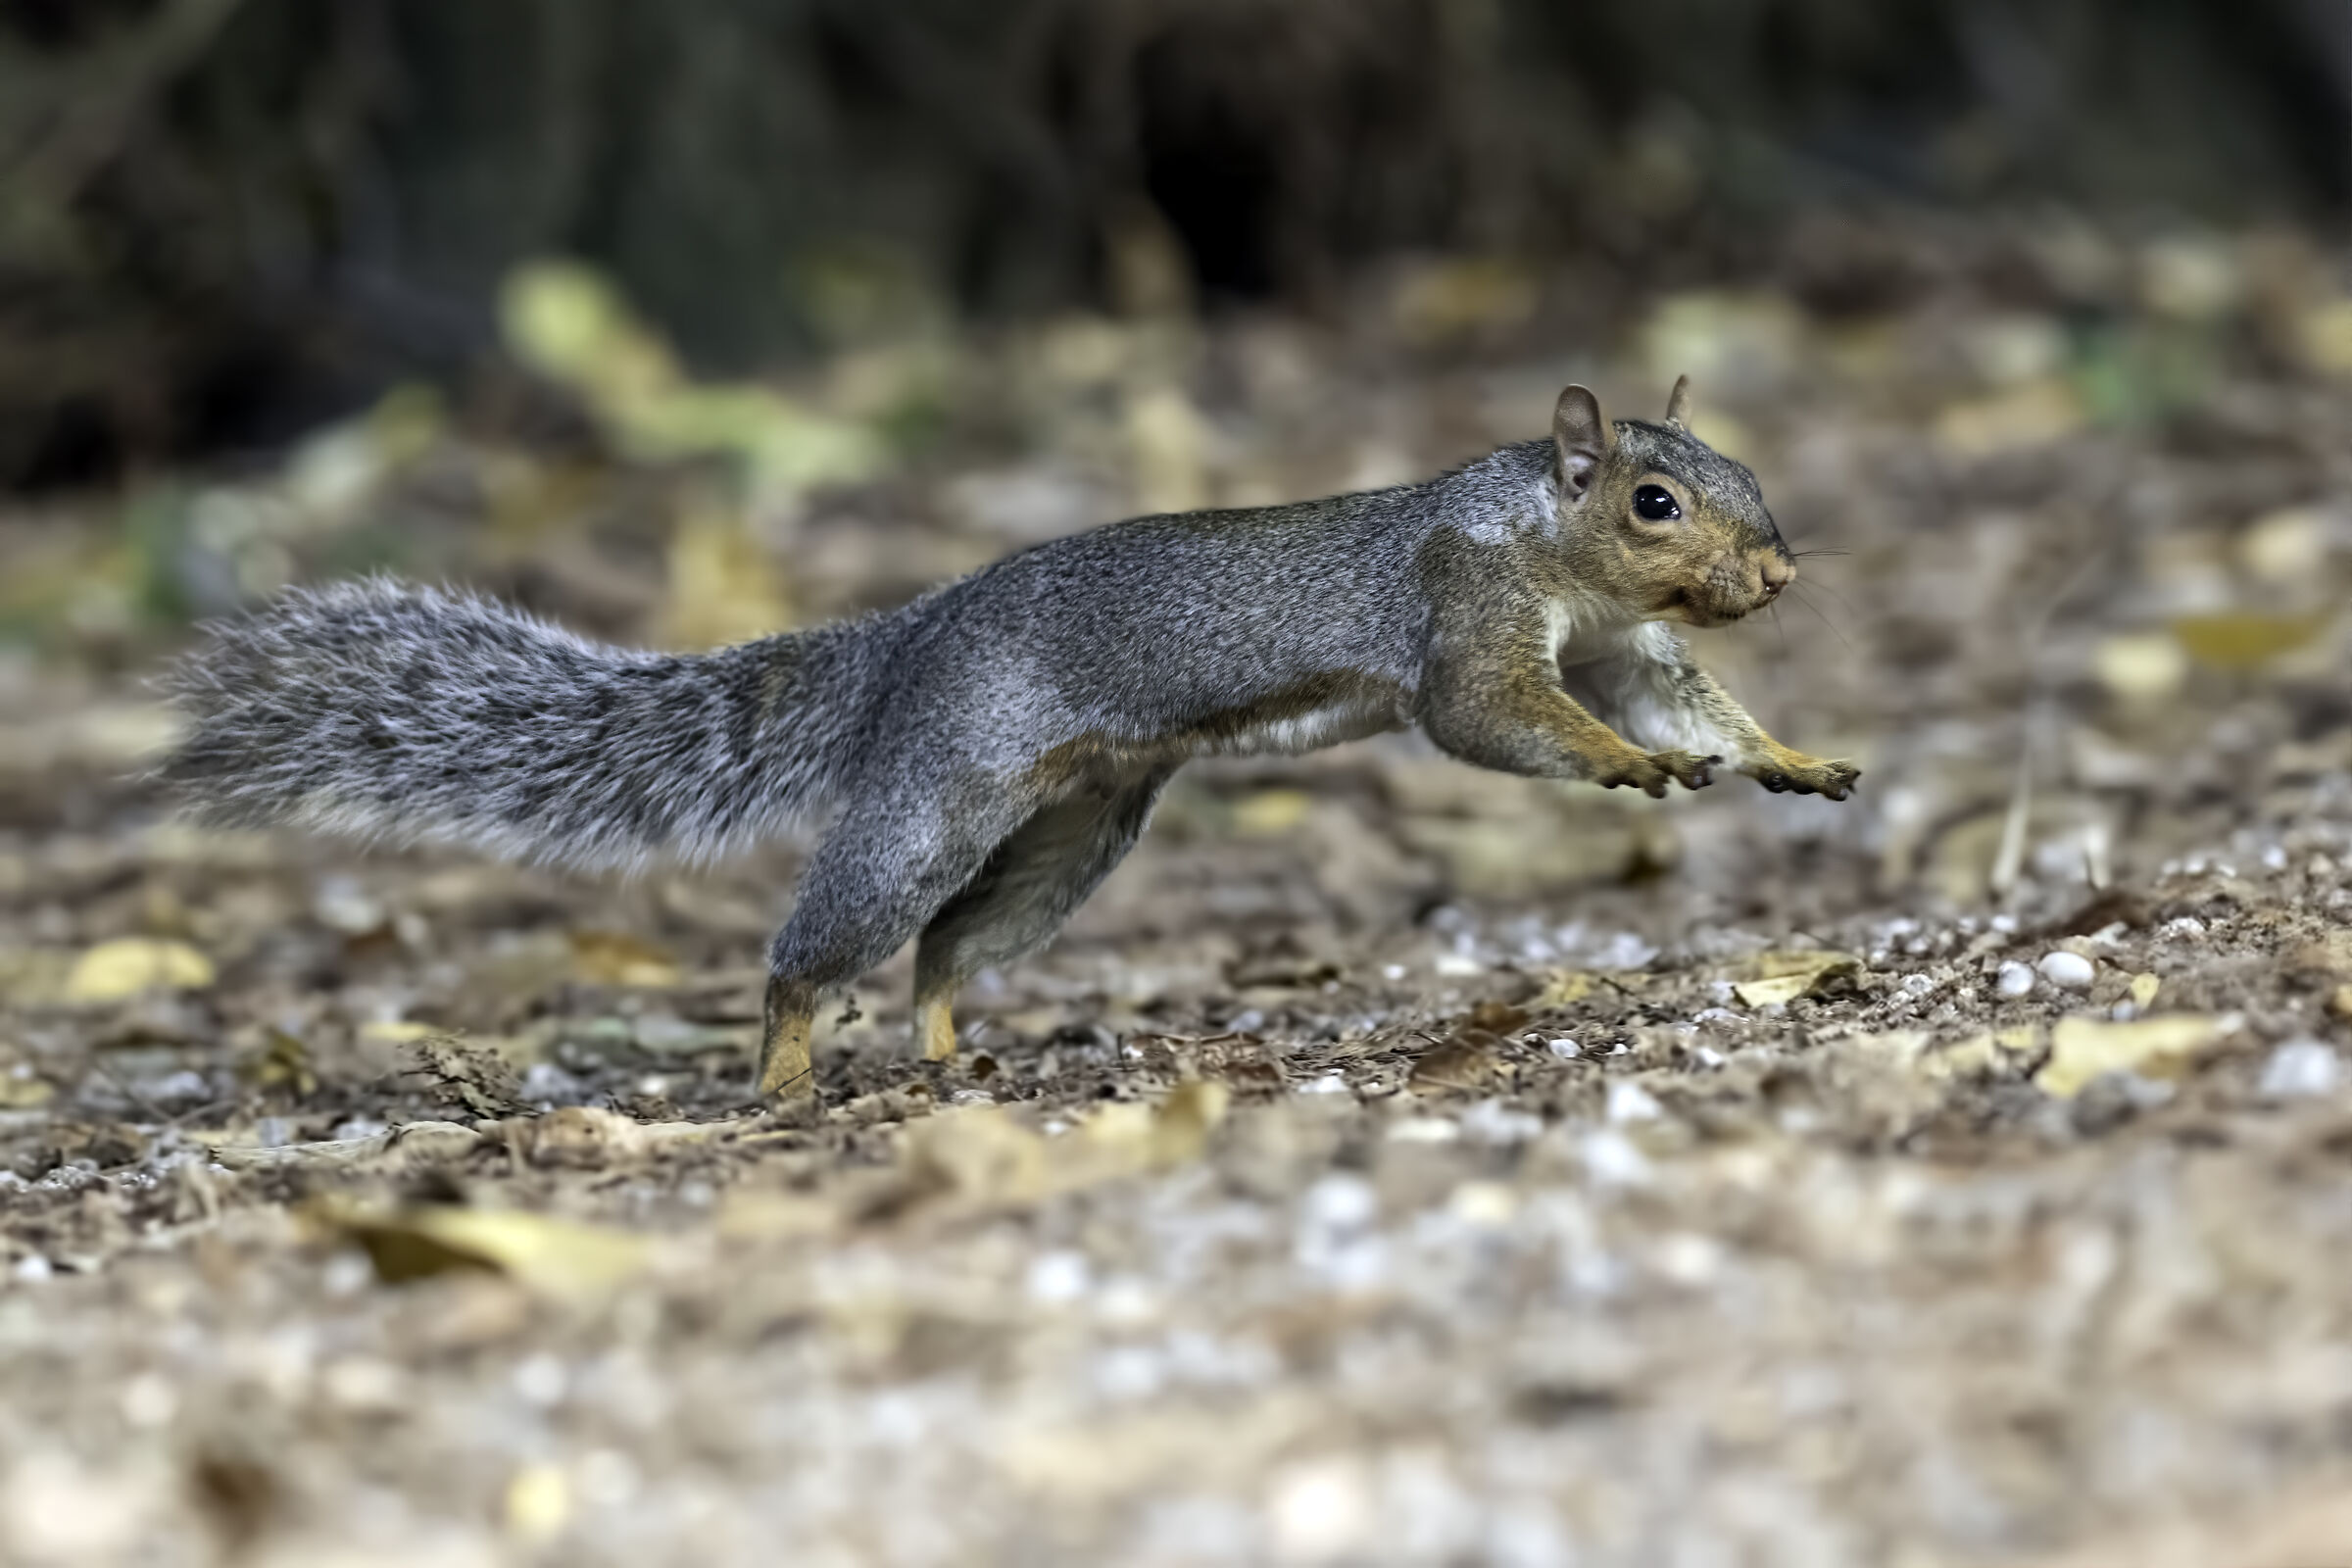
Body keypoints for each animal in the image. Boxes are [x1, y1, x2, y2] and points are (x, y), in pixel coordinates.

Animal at [162, 377, 1858, 1099]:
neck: (1547, 545)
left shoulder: (1623, 649)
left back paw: (944, 1048)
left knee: (943, 951)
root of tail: (910, 639)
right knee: (821, 949)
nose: (1781, 577)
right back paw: (786, 1075)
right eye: (1656, 499)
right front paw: (1632, 770)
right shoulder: (1465, 624)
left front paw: (1788, 759)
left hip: (1072, 835)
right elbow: (1504, 719)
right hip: (939, 801)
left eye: (1742, 471)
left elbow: (1690, 703)